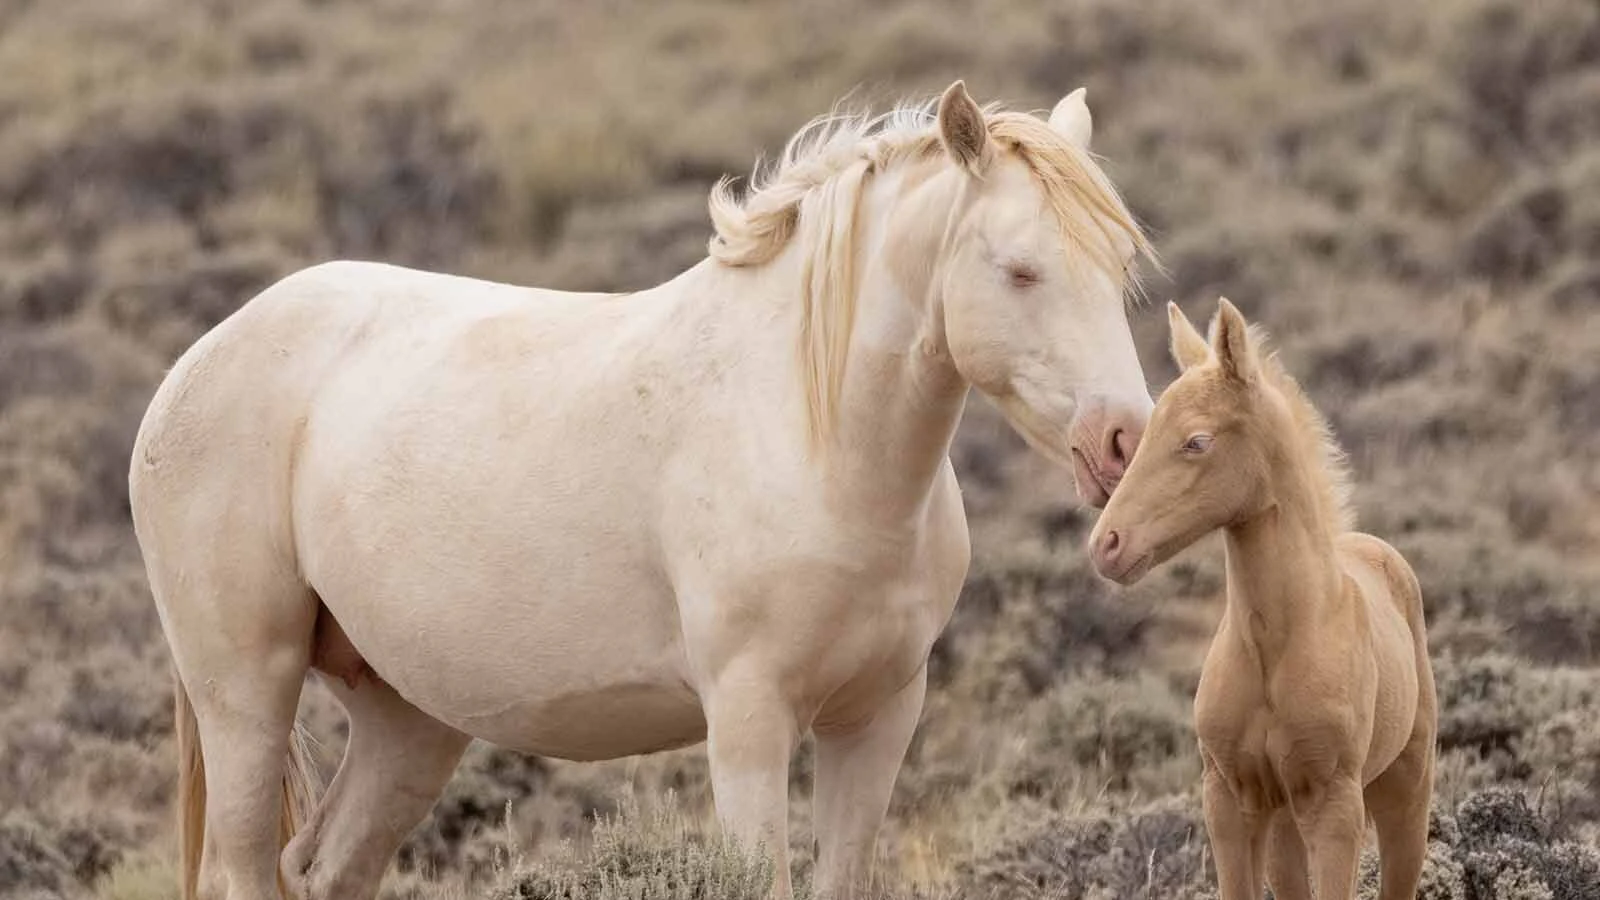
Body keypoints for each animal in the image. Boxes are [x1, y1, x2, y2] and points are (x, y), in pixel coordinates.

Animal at [130, 81, 1156, 900]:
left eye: (1118, 267)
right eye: (1018, 269)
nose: (1124, 441)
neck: (815, 438)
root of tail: (195, 362)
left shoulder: (878, 716)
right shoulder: (748, 722)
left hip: (406, 719)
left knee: (323, 868)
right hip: (246, 692)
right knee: (243, 868)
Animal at [1087, 299, 1438, 900]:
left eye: (1197, 441)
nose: (1108, 545)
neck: (1276, 645)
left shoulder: (1334, 806)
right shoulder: (1230, 799)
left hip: (1405, 792)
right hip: (1284, 821)